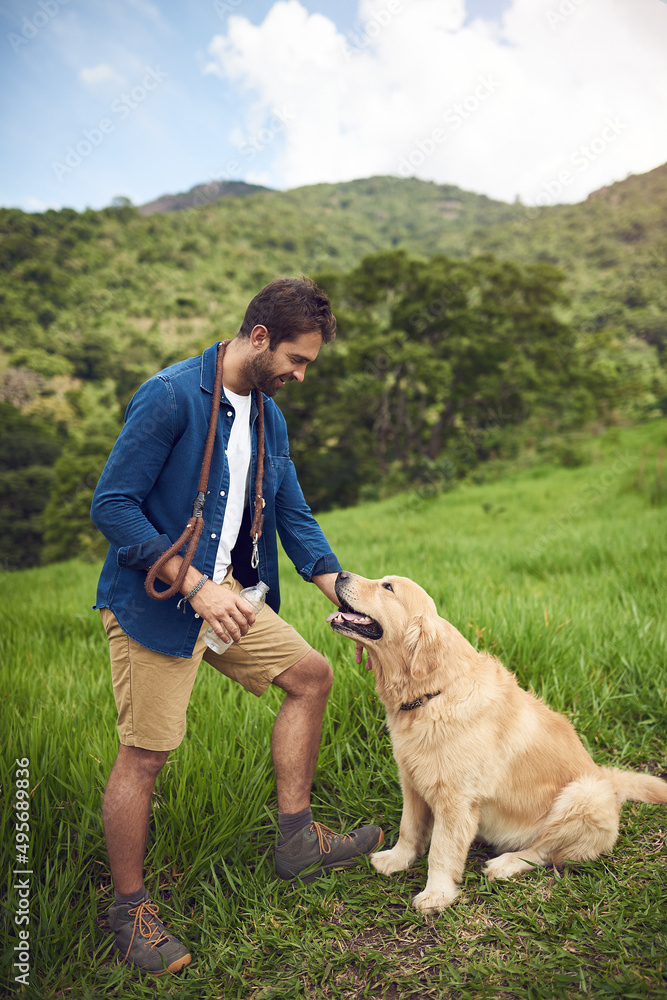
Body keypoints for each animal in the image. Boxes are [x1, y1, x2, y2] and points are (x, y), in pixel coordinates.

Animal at [328, 572, 667, 916]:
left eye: (388, 587)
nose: (340, 574)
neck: (434, 694)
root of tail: (608, 780)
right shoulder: (411, 782)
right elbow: (408, 828)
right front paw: (398, 859)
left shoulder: (456, 799)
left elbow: (441, 850)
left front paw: (437, 894)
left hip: (583, 795)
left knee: (543, 851)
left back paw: (505, 864)